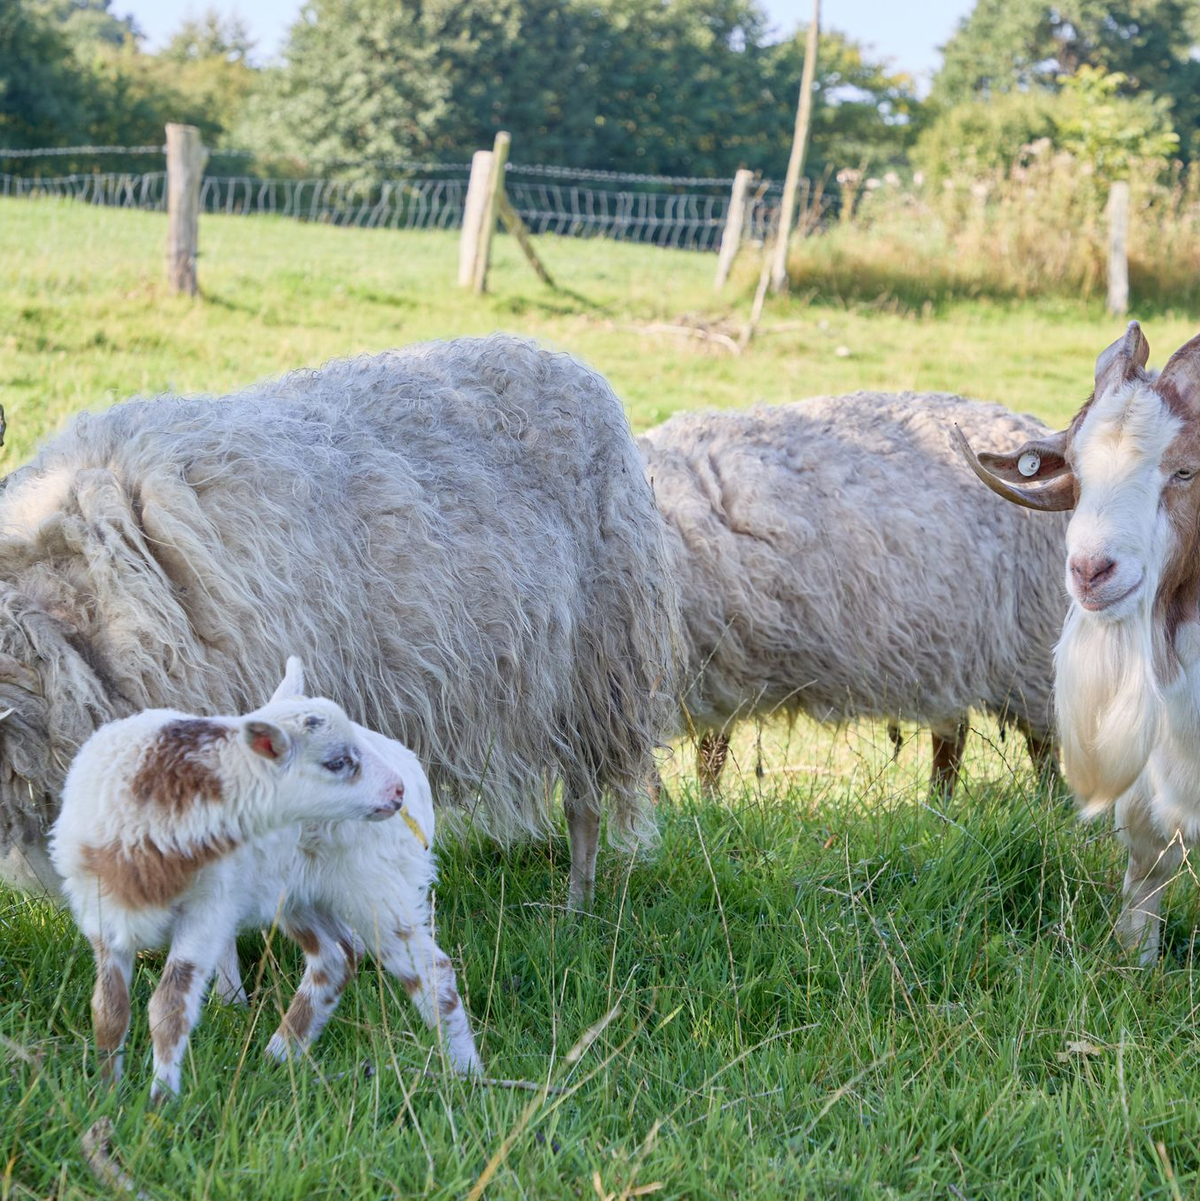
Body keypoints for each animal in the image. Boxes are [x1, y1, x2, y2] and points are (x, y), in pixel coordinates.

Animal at [50, 658, 482, 1100]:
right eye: (336, 762)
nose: (394, 791)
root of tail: (411, 767)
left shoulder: (208, 913)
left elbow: (169, 1006)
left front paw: (160, 1101)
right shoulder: (102, 915)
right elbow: (108, 1009)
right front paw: (105, 1094)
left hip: (376, 885)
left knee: (431, 971)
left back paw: (465, 1073)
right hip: (297, 893)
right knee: (336, 958)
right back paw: (279, 1057)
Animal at [640, 391, 1069, 799]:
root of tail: (1031, 426)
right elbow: (708, 754)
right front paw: (704, 805)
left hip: (1031, 642)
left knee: (1042, 742)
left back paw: (1049, 802)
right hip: (950, 651)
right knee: (953, 734)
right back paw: (937, 806)